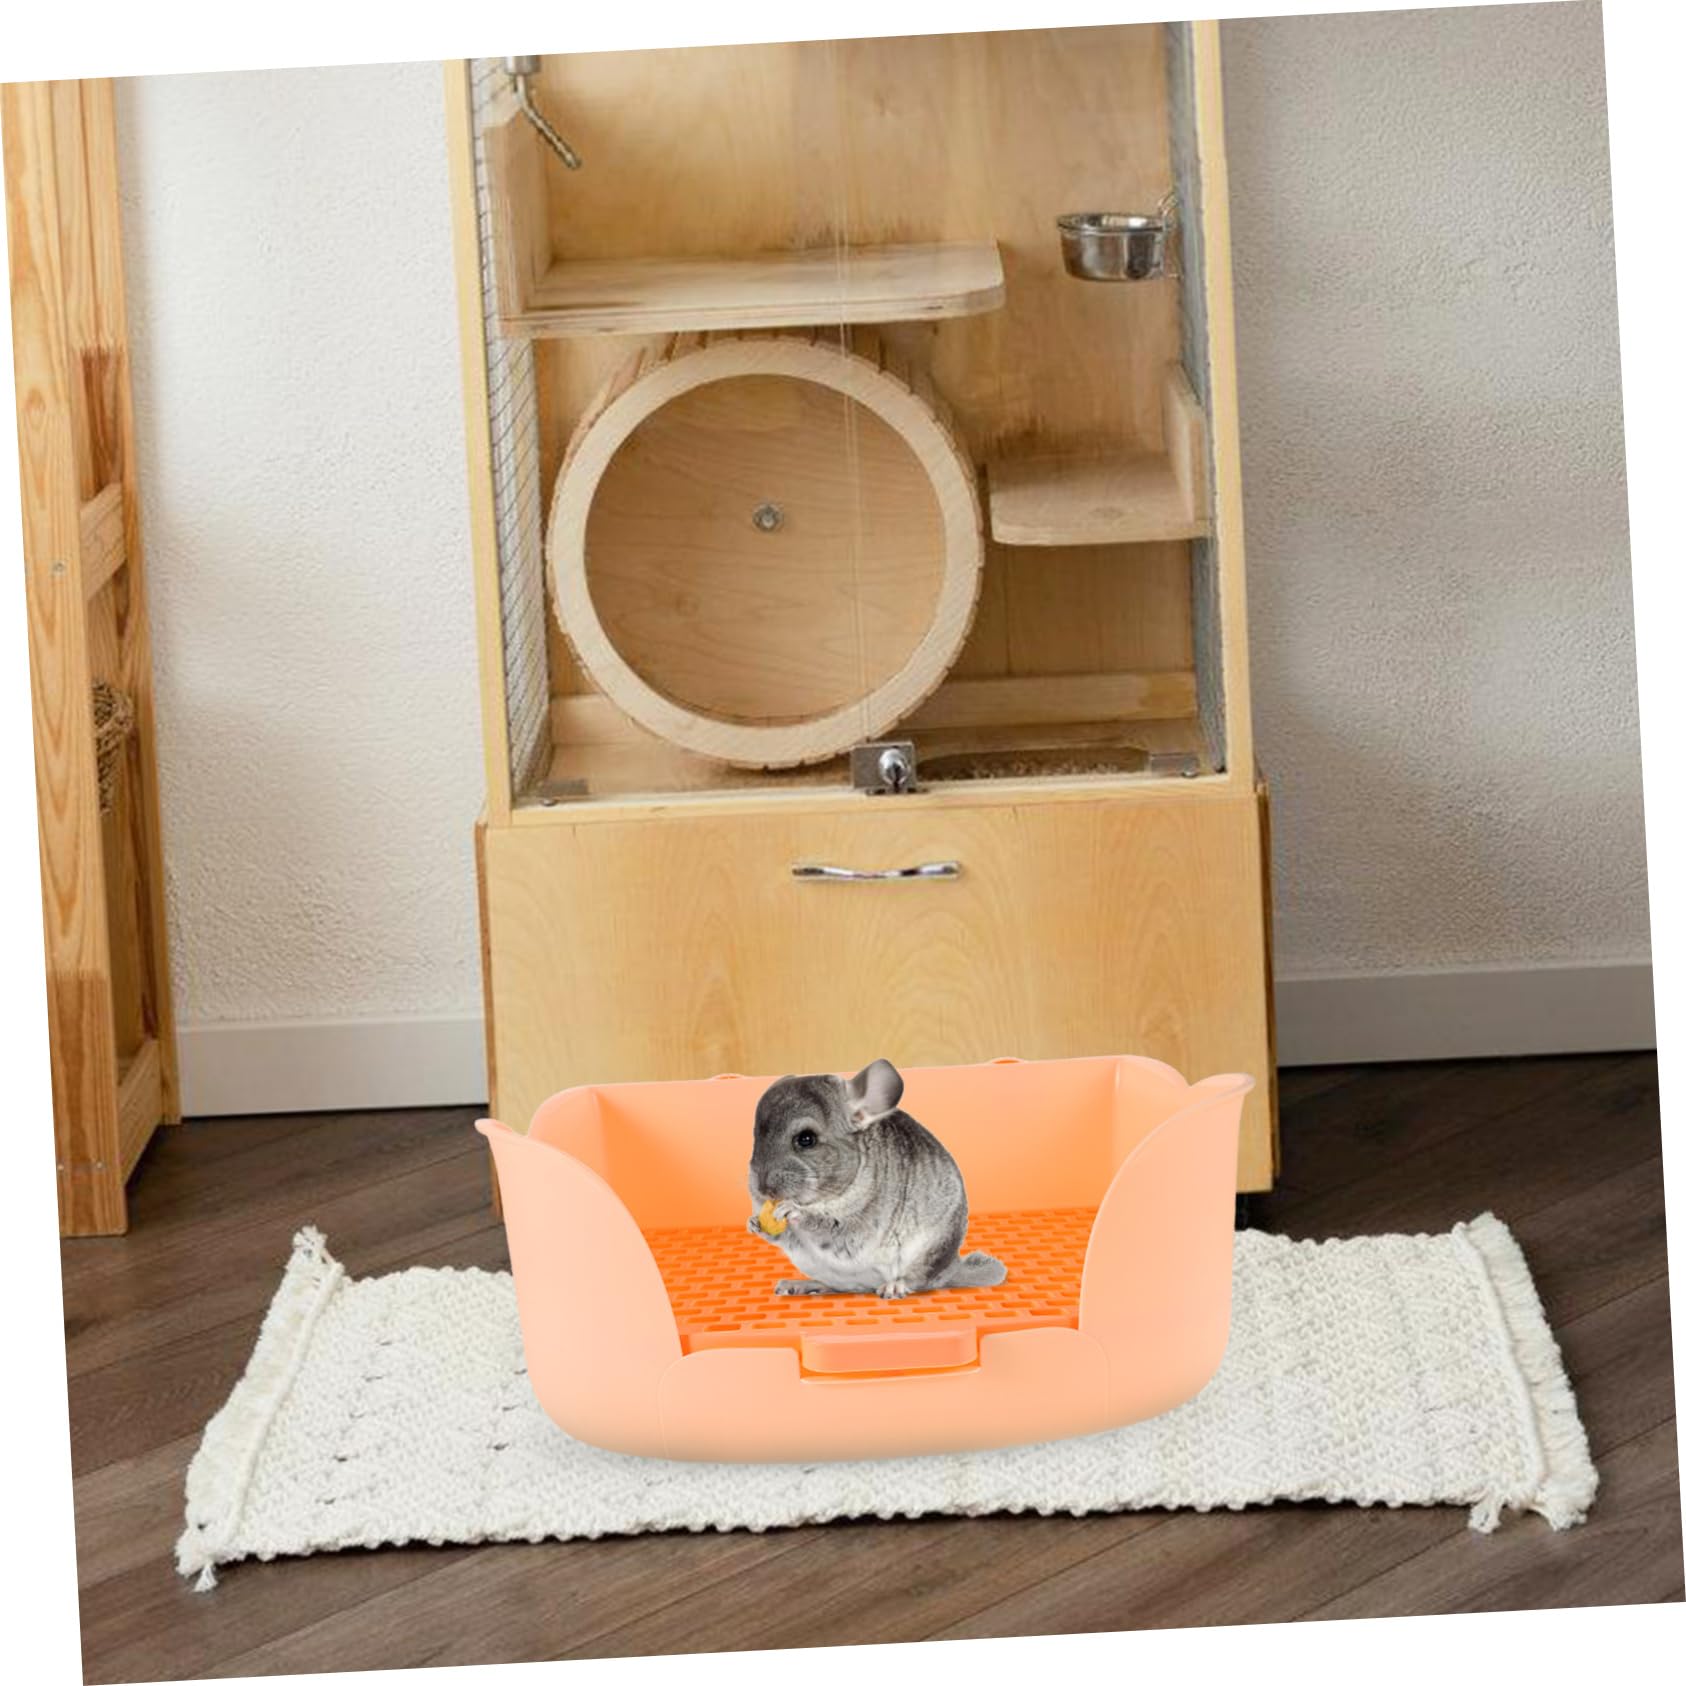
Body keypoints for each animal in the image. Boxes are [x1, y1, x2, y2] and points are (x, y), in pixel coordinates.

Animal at [747, 1058, 1008, 1299]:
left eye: (806, 1139)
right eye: (756, 1137)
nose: (762, 1188)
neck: (827, 1197)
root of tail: (952, 1267)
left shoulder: (859, 1228)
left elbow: (827, 1225)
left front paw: (794, 1211)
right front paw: (754, 1223)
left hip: (931, 1251)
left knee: (918, 1280)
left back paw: (894, 1287)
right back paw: (800, 1285)